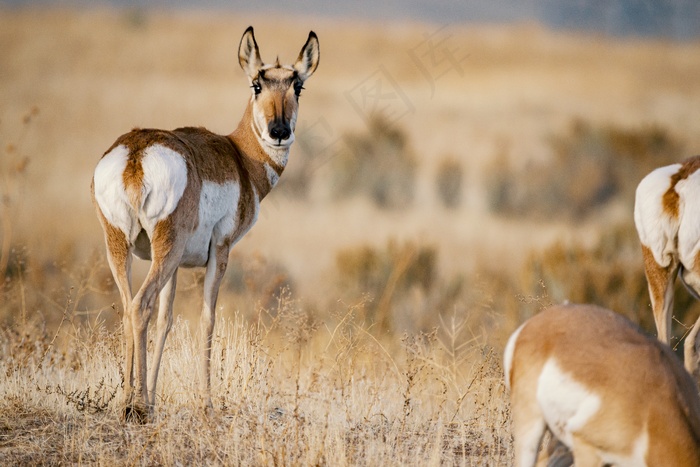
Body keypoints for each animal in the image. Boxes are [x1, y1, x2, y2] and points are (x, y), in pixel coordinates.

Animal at [91, 25, 322, 420]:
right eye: (257, 84)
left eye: (298, 86)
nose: (278, 131)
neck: (239, 155)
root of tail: (137, 151)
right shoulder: (220, 252)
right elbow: (207, 319)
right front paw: (207, 402)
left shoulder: (176, 266)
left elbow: (166, 319)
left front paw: (155, 397)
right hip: (165, 250)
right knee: (139, 306)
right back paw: (136, 407)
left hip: (123, 248)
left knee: (129, 307)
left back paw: (129, 401)